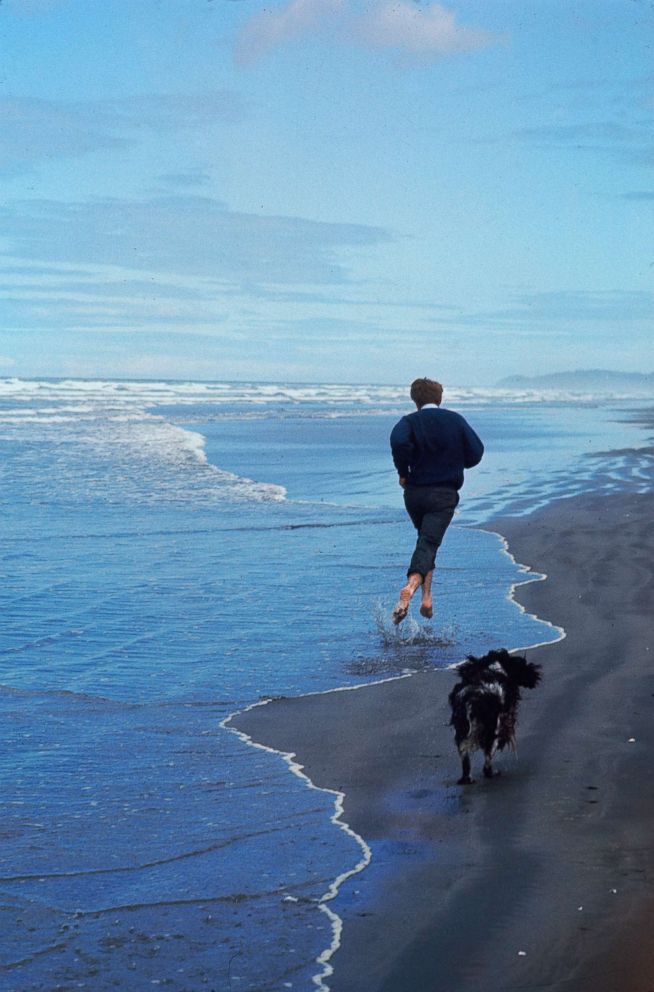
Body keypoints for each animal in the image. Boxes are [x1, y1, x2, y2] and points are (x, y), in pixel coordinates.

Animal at [452, 648, 544, 788]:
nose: (534, 671)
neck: (493, 668)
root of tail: (473, 698)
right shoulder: (504, 722)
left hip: (463, 731)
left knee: (465, 758)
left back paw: (467, 779)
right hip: (492, 730)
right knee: (488, 757)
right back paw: (491, 772)